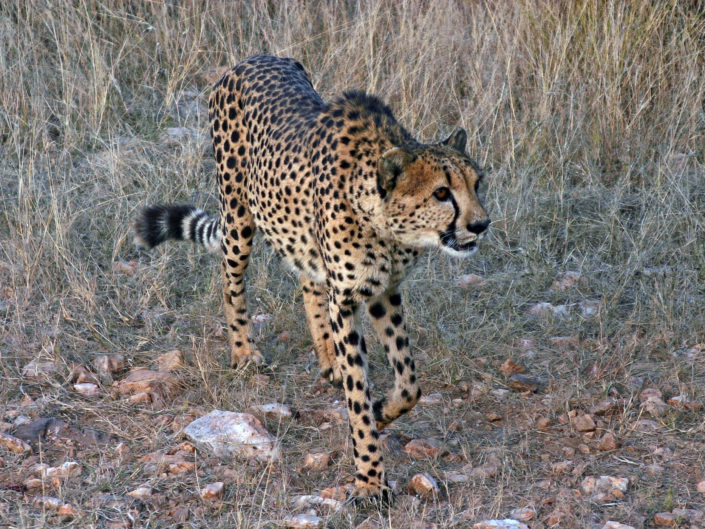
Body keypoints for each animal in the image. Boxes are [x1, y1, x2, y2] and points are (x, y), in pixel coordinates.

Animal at [134, 55, 490, 499]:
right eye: (442, 193)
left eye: (477, 184)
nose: (481, 225)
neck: (385, 225)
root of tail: (254, 58)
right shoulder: (349, 297)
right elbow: (358, 393)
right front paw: (370, 479)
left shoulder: (384, 291)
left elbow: (409, 383)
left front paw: (381, 411)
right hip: (238, 217)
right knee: (231, 281)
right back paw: (244, 353)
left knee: (307, 280)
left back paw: (326, 358)